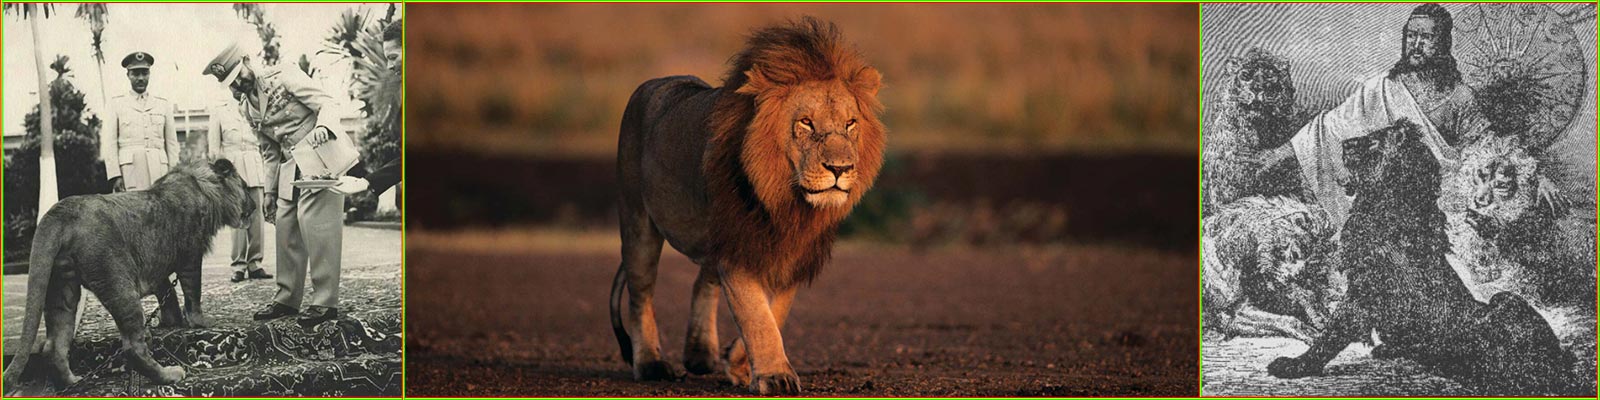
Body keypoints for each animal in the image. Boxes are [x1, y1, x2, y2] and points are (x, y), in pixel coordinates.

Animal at [2, 159, 256, 392]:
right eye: (245, 186)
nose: (255, 206)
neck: (203, 187)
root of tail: (60, 211)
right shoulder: (191, 256)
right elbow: (193, 293)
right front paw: (200, 322)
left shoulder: (157, 267)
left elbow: (168, 294)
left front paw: (171, 321)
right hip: (118, 283)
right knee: (132, 347)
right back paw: (170, 375)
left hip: (61, 287)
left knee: (53, 346)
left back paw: (73, 382)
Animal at [608, 17, 884, 395]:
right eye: (806, 122)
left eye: (850, 124)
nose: (840, 168)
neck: (787, 201)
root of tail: (653, 83)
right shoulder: (738, 245)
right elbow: (756, 314)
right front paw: (775, 376)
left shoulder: (792, 251)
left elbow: (775, 311)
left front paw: (738, 363)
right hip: (638, 221)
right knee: (641, 293)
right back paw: (651, 364)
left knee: (703, 281)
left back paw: (700, 354)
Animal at [1266, 119, 1578, 395]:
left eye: (1376, 142)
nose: (1346, 142)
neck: (1393, 207)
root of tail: (1562, 364)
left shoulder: (1363, 292)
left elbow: (1331, 334)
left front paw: (1295, 365)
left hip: (1506, 303)